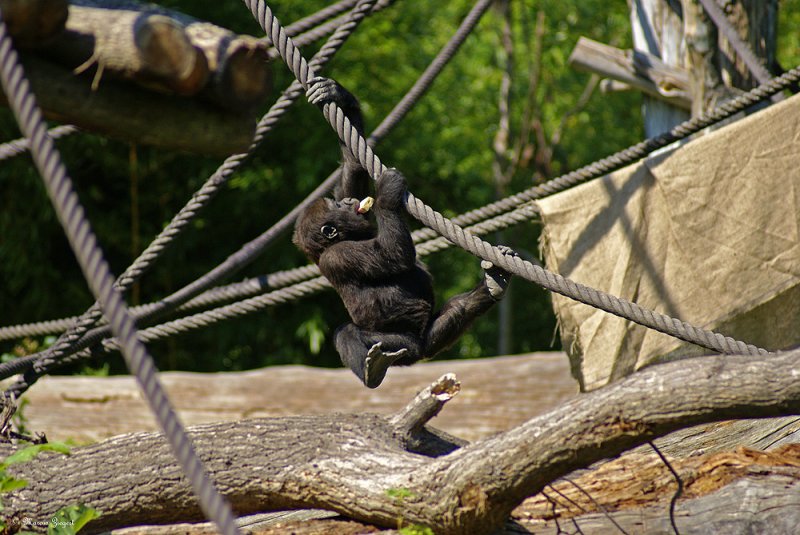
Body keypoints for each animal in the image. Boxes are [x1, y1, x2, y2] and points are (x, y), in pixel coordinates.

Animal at [294, 77, 512, 390]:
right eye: (336, 207)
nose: (347, 203)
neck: (345, 239)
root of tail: (419, 353)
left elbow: (353, 169)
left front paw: (337, 94)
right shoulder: (340, 253)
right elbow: (394, 256)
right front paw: (386, 194)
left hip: (429, 338)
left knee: (456, 310)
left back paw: (493, 285)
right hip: (400, 344)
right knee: (347, 332)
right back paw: (372, 371)